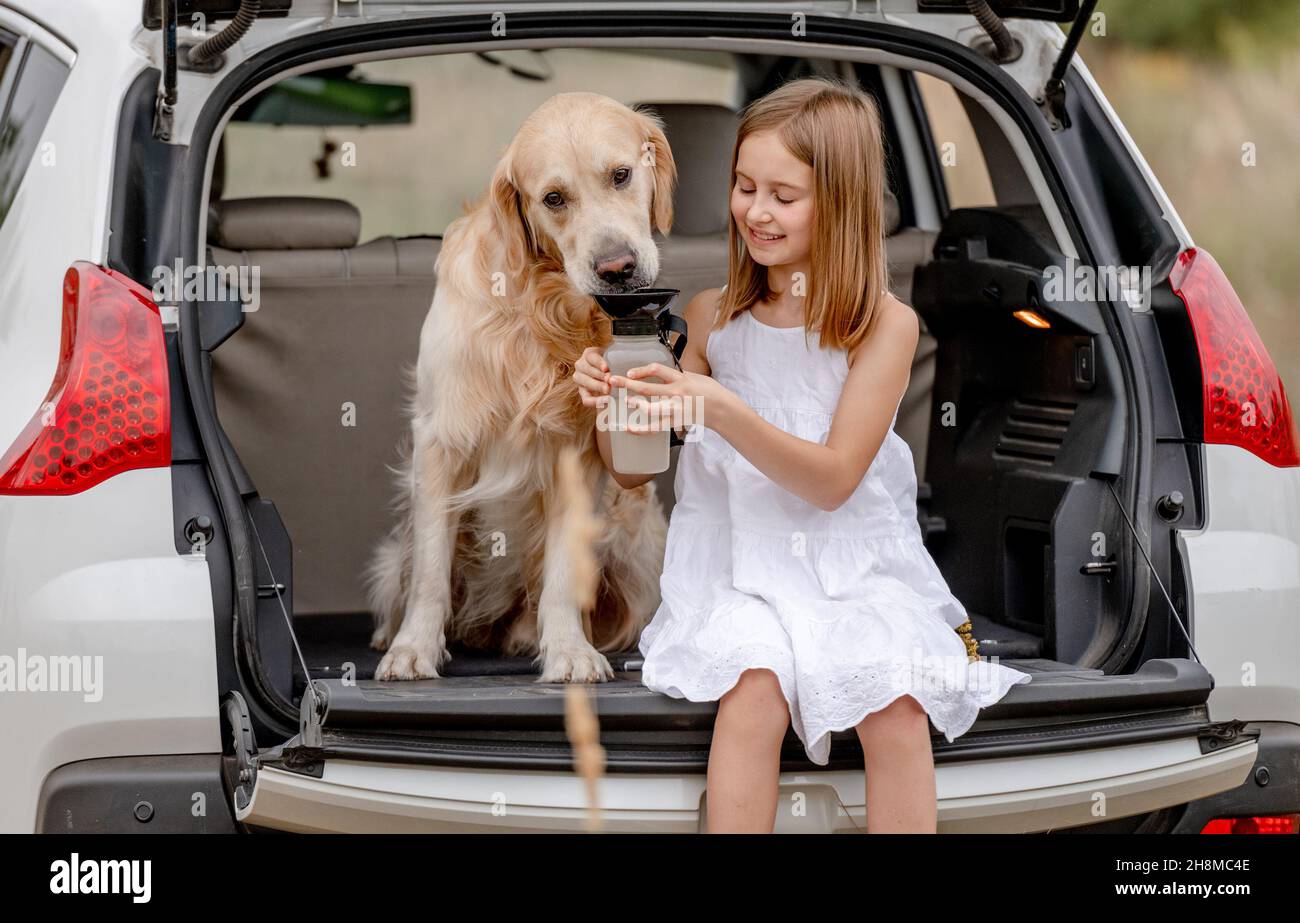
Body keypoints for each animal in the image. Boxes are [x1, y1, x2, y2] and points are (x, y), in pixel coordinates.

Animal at [364, 94, 676, 681]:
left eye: (621, 174)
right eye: (553, 198)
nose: (617, 268)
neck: (539, 308)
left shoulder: (577, 450)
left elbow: (562, 572)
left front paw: (569, 650)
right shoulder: (441, 439)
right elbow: (431, 570)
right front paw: (413, 648)